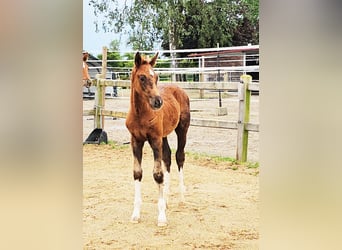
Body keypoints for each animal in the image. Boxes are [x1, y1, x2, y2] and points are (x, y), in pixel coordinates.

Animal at [125, 51, 191, 227]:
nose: (158, 102)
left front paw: (161, 217)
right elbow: (137, 173)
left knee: (179, 157)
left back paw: (181, 198)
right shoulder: (136, 141)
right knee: (167, 157)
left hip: (182, 129)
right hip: (164, 135)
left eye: (156, 77)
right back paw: (166, 199)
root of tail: (179, 88)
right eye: (142, 77)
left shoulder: (155, 140)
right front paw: (135, 214)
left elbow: (158, 175)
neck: (140, 114)